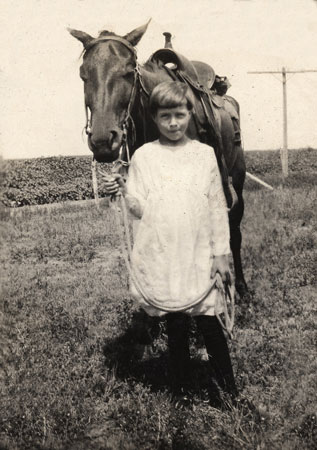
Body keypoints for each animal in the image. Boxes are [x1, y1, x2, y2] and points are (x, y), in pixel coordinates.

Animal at [68, 21, 247, 298]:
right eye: (83, 74)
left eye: (129, 72)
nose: (102, 141)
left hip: (236, 178)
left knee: (234, 230)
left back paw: (241, 287)